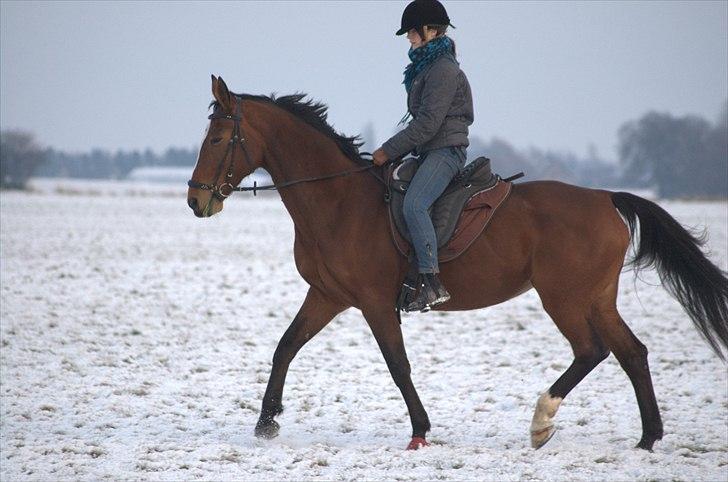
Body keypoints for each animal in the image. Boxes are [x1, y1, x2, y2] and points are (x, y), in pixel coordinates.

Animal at [186, 75, 728, 452]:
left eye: (216, 140)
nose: (196, 201)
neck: (338, 201)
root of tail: (606, 198)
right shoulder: (327, 296)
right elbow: (286, 347)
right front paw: (266, 423)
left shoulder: (374, 303)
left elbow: (398, 365)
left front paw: (420, 431)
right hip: (596, 298)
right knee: (632, 352)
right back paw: (647, 438)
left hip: (565, 298)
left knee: (591, 350)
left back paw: (541, 422)